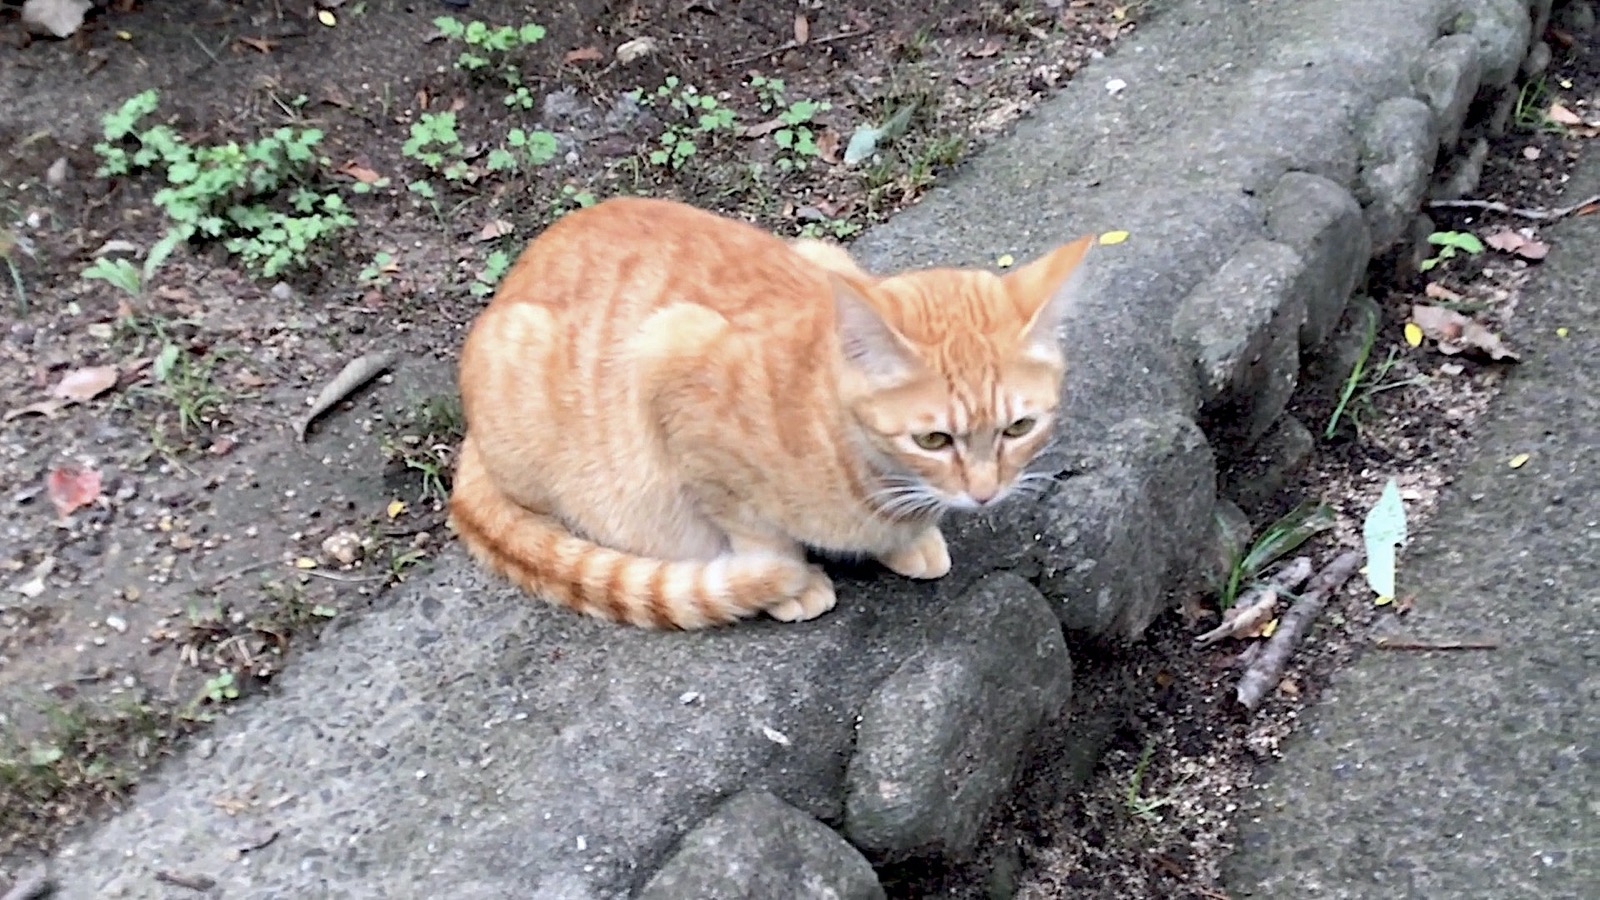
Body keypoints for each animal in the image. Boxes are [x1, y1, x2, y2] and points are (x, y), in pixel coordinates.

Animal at [457, 196, 1094, 627]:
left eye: (1019, 428)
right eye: (934, 440)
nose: (985, 494)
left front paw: (908, 543)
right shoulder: (671, 360)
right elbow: (752, 527)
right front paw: (788, 582)